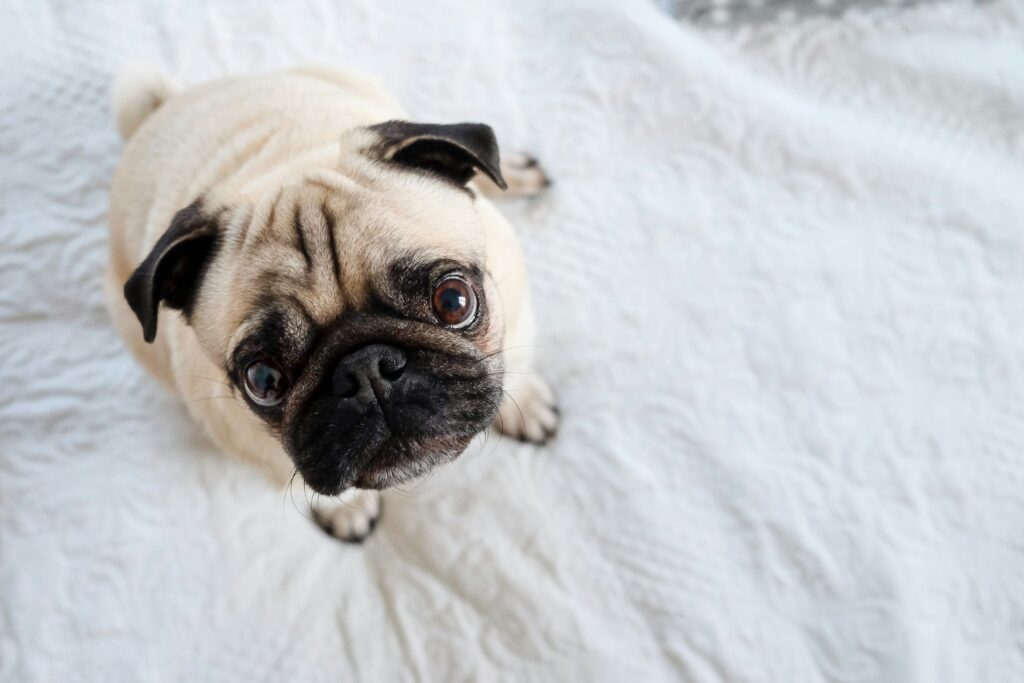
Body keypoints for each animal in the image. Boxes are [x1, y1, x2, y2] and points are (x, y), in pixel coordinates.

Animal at [103, 66, 561, 540]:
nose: (368, 370)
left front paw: (525, 404)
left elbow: (515, 372)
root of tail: (163, 106)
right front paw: (347, 509)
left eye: (453, 301)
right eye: (263, 380)